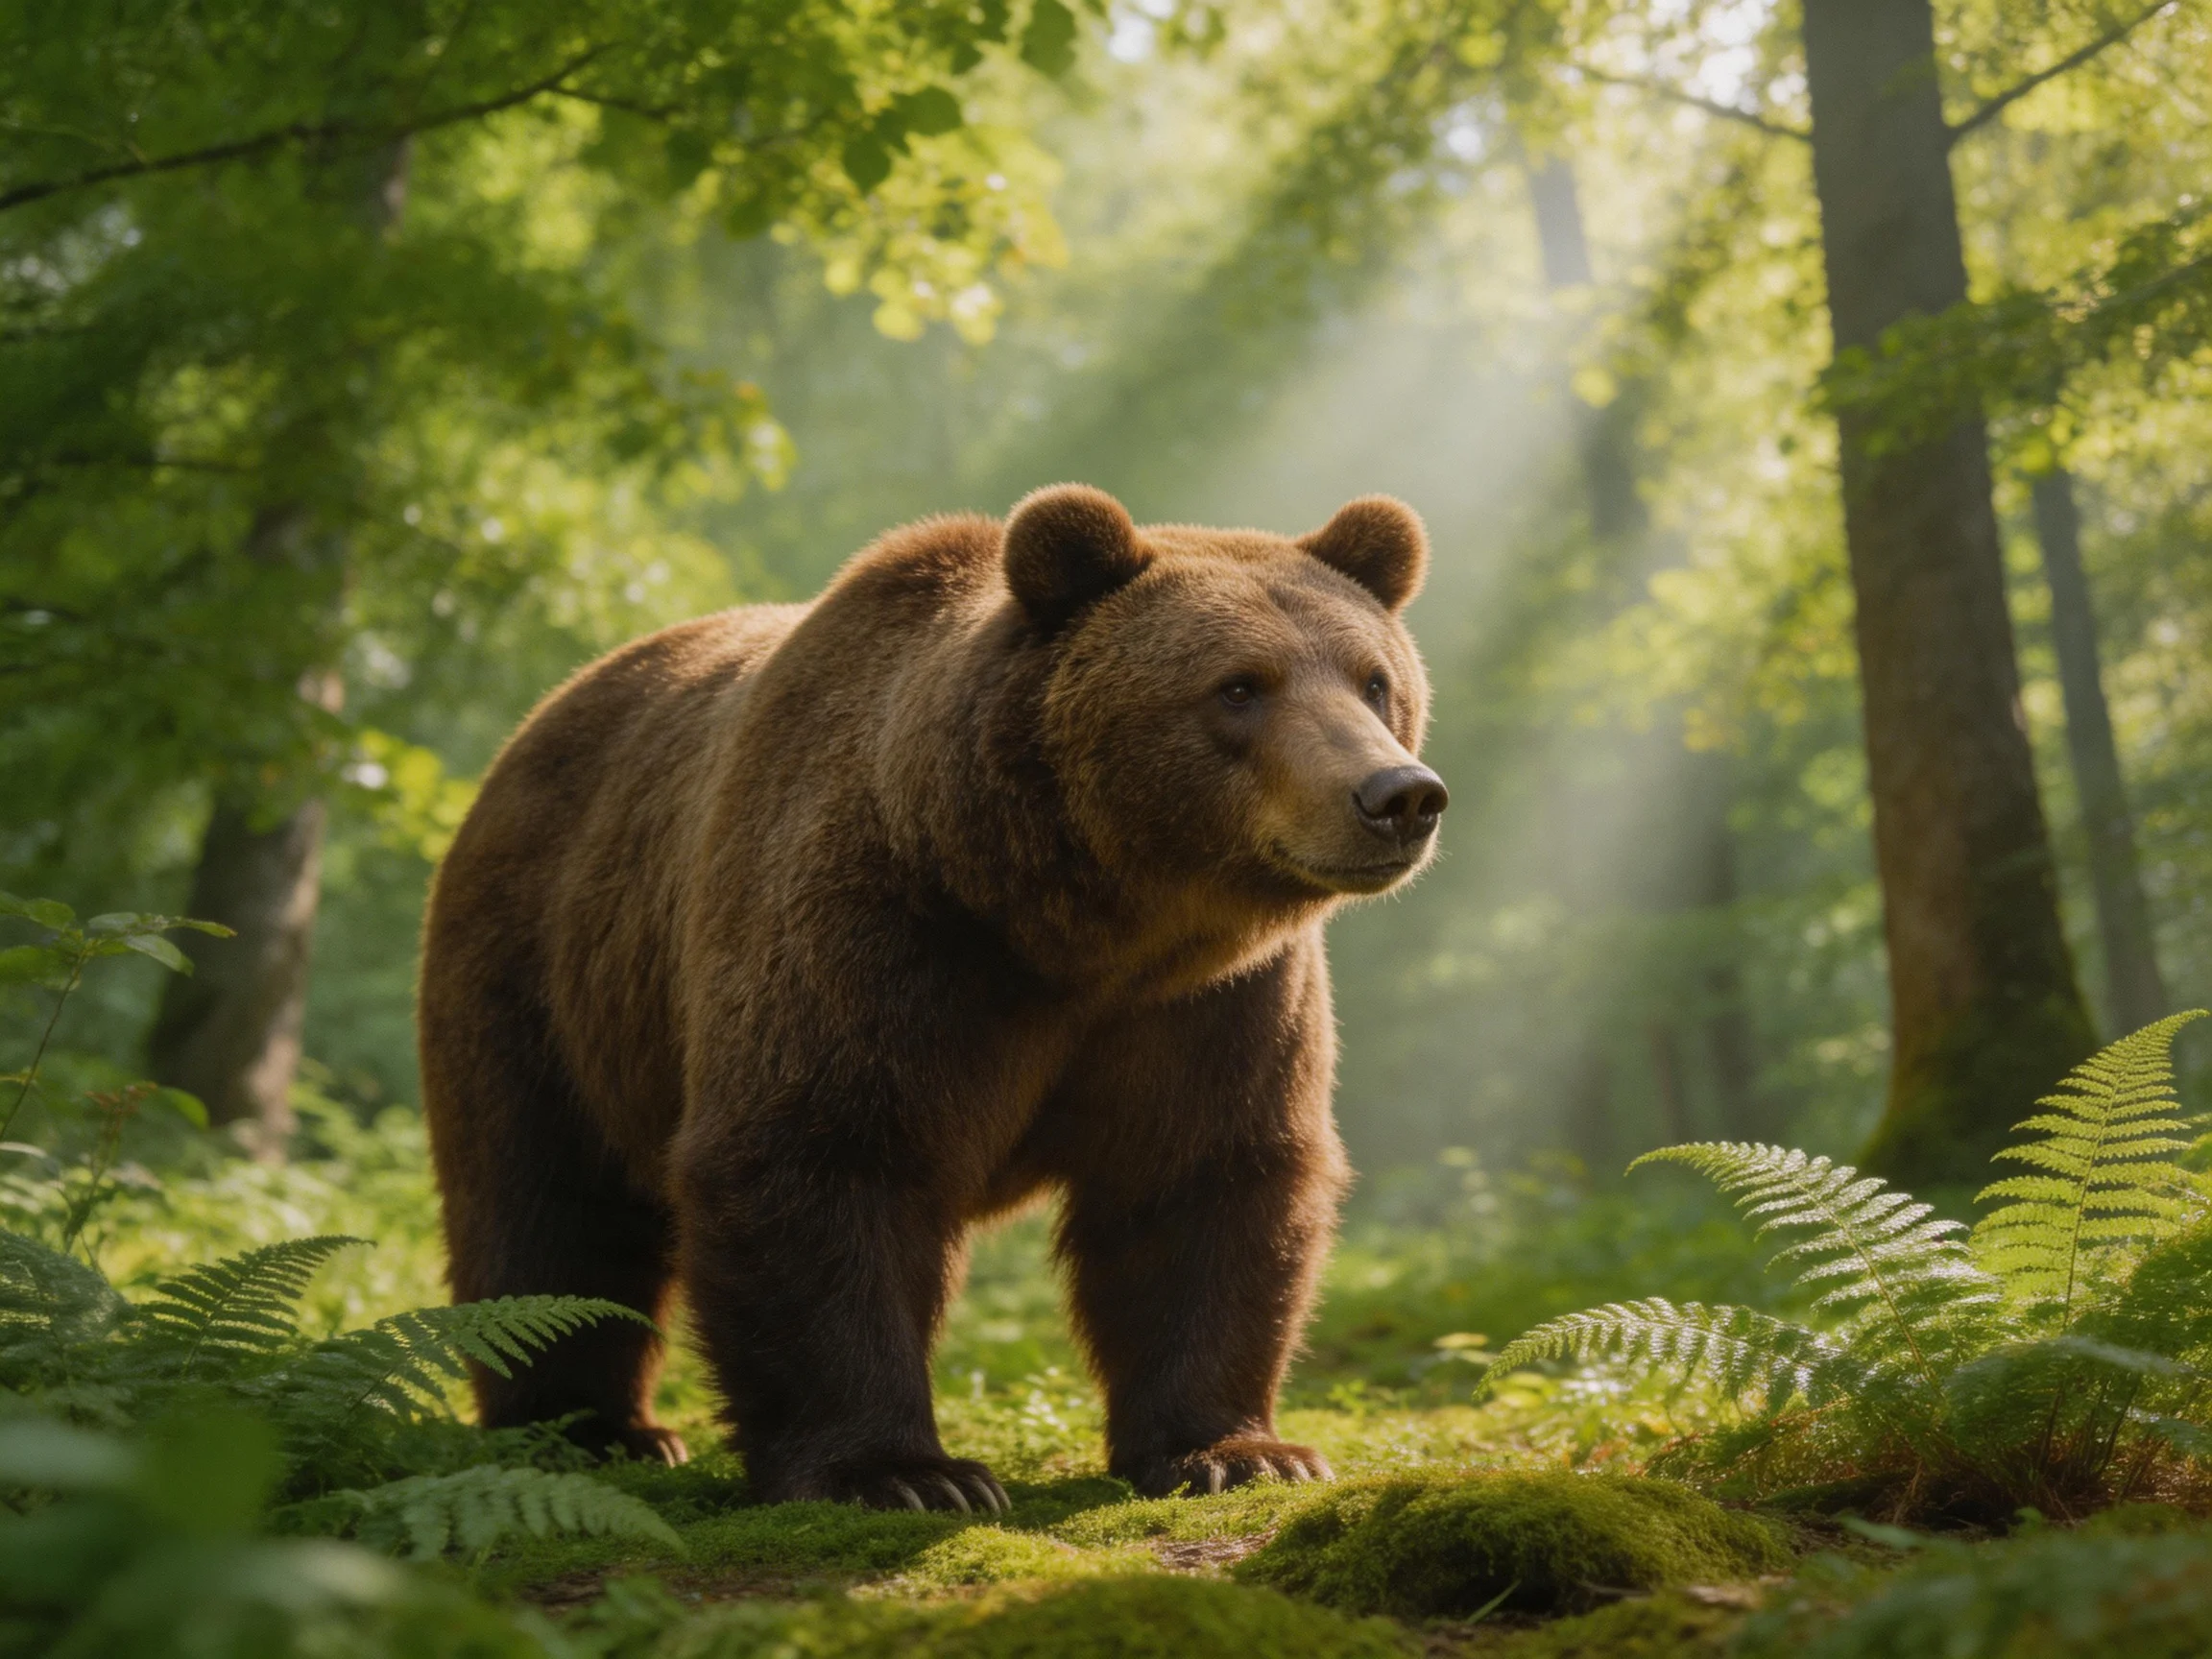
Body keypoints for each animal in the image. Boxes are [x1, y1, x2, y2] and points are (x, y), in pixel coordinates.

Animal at [416, 484, 1447, 1511]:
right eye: (1239, 685)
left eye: (1372, 680)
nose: (1398, 794)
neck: (1076, 923)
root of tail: (539, 718)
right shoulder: (876, 935)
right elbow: (820, 1155)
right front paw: (902, 1473)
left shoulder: (1209, 1001)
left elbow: (1202, 1182)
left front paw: (1236, 1450)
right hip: (543, 966)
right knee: (549, 1207)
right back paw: (596, 1428)